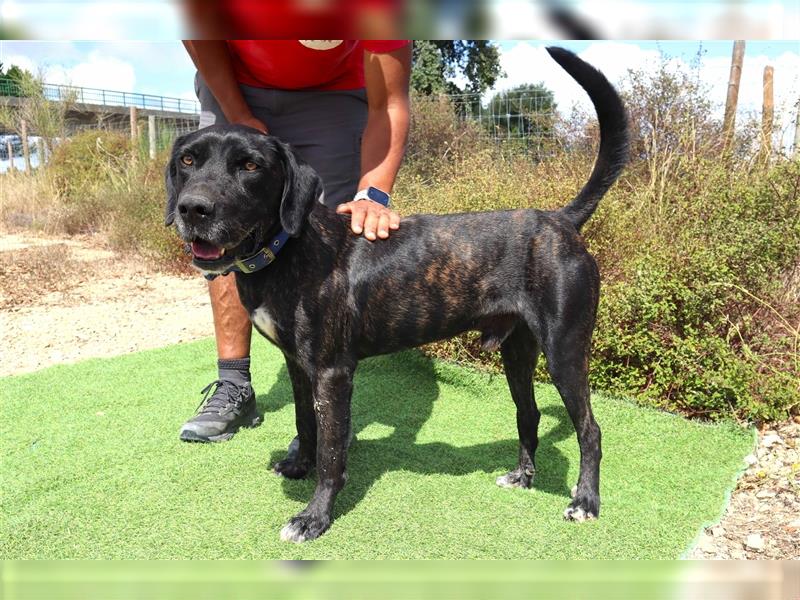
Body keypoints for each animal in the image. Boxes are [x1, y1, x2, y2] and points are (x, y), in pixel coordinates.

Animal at [166, 48, 628, 544]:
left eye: (250, 166)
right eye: (189, 160)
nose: (192, 209)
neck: (288, 250)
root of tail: (561, 219)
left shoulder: (332, 372)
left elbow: (332, 453)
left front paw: (314, 517)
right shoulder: (298, 364)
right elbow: (305, 424)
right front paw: (297, 466)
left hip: (564, 350)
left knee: (591, 430)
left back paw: (585, 502)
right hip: (517, 352)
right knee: (530, 413)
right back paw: (523, 476)